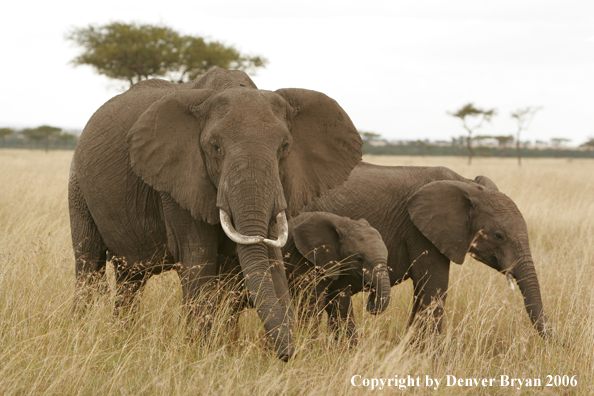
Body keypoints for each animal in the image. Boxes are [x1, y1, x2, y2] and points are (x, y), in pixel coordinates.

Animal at [66, 66, 358, 360]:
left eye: (285, 146)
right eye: (215, 148)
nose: (287, 355)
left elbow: (270, 260)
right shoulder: (177, 181)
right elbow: (198, 258)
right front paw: (199, 355)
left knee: (130, 278)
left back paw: (121, 337)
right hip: (77, 186)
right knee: (89, 265)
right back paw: (82, 333)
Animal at [280, 212, 390, 344]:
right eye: (359, 259)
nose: (372, 290)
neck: (342, 223)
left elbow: (342, 305)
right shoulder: (305, 261)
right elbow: (311, 305)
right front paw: (308, 346)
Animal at [306, 162, 552, 338]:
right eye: (499, 236)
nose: (555, 339)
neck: (466, 184)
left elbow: (424, 290)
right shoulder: (419, 230)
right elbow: (434, 285)